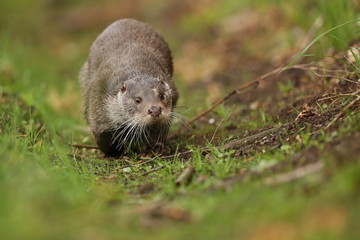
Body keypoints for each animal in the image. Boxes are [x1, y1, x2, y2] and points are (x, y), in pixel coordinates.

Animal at [80, 19, 179, 158]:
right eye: (137, 100)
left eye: (161, 95)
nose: (155, 110)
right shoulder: (98, 107)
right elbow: (102, 138)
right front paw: (114, 154)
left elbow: (158, 132)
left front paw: (157, 149)